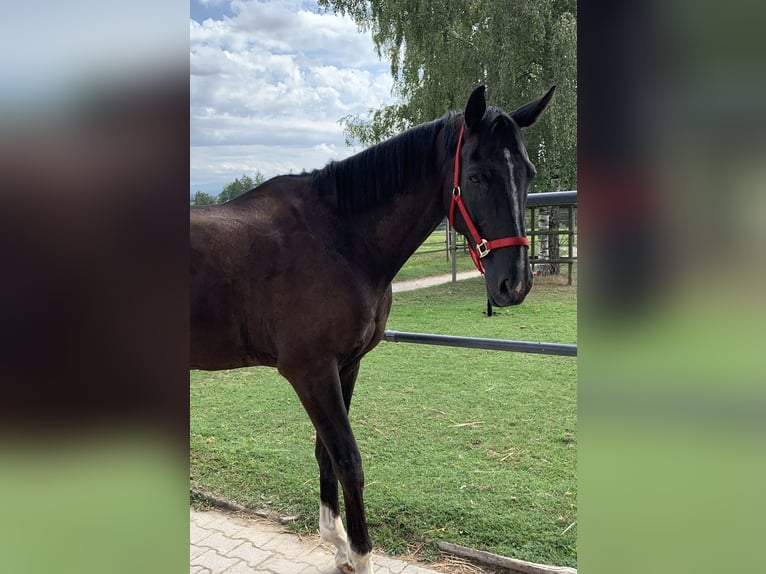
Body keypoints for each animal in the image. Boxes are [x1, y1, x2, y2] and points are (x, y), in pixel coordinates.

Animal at [190, 84, 554, 574]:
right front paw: (361, 554)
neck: (337, 239)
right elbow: (348, 461)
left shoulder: (346, 366)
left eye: (528, 173)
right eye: (478, 177)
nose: (514, 283)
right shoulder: (311, 372)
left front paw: (338, 544)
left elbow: (325, 454)